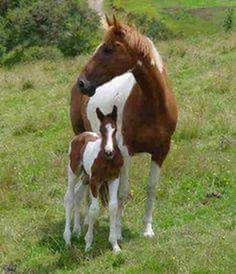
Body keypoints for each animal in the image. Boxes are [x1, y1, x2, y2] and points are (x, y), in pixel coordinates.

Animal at [64, 105, 123, 253]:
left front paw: (115, 245)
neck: (107, 160)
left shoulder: (114, 179)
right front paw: (88, 243)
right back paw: (67, 238)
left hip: (86, 177)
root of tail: (80, 136)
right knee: (69, 198)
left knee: (77, 195)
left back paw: (77, 230)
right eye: (102, 130)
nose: (109, 152)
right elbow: (93, 210)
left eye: (115, 129)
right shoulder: (95, 182)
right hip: (74, 172)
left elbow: (113, 206)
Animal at [70, 15, 177, 238]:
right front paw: (117, 231)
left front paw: (147, 229)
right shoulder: (126, 152)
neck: (152, 104)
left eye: (108, 49)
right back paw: (81, 225)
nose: (82, 83)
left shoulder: (161, 151)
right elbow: (123, 193)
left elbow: (151, 187)